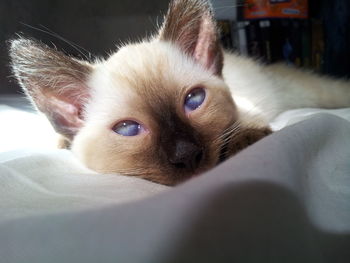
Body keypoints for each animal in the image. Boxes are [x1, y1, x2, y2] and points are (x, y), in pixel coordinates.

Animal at [8, 0, 350, 187]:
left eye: (194, 101)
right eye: (128, 129)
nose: (186, 155)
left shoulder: (247, 109)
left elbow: (244, 125)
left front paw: (246, 142)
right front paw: (61, 143)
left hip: (308, 92)